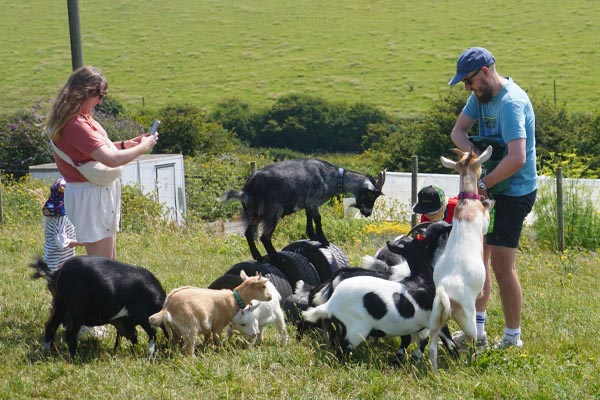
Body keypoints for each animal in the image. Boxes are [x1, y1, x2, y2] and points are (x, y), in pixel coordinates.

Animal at [29, 256, 166, 358]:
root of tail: (56, 273)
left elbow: (129, 334)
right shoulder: (143, 315)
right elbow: (151, 333)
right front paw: (149, 354)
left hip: (60, 303)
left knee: (51, 325)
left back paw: (47, 351)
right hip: (77, 308)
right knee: (70, 333)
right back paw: (75, 357)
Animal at [220, 158, 385, 263]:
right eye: (370, 196)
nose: (367, 213)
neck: (331, 177)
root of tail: (247, 190)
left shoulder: (308, 203)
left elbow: (309, 217)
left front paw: (312, 235)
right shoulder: (313, 201)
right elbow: (318, 219)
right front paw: (323, 240)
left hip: (255, 212)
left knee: (249, 232)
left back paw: (259, 257)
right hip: (273, 211)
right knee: (264, 236)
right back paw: (276, 257)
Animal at [428, 146, 495, 371]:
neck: (467, 202)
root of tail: (446, 293)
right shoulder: (484, 222)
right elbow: (487, 220)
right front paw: (489, 203)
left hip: (435, 321)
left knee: (432, 347)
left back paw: (434, 370)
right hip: (468, 318)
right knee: (472, 339)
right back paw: (475, 359)